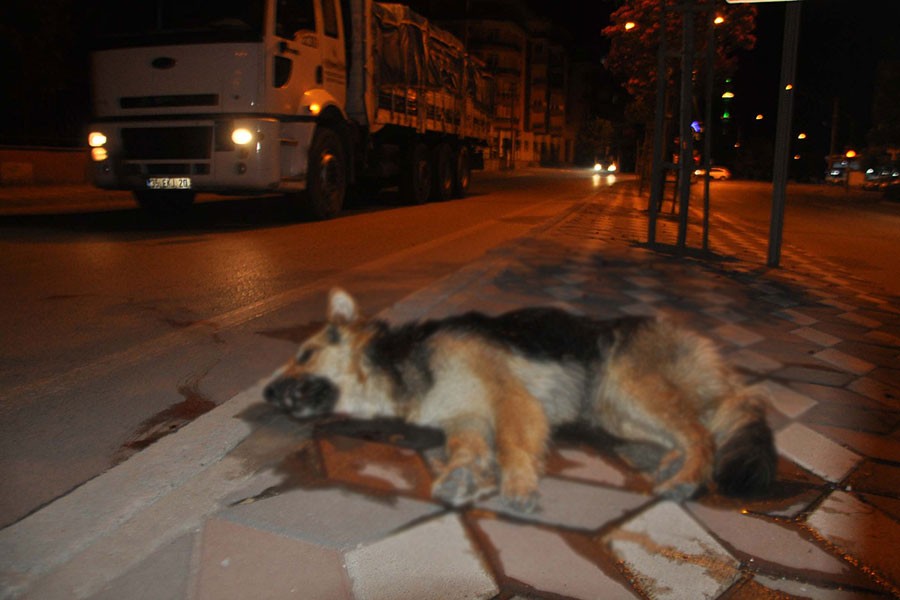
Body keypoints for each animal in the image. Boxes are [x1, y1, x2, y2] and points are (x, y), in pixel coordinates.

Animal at [264, 288, 776, 508]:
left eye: (304, 354)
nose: (266, 392)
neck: (402, 362)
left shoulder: (510, 398)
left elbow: (511, 443)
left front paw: (518, 485)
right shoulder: (465, 418)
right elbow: (467, 448)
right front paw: (461, 474)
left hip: (634, 386)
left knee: (703, 434)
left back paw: (687, 476)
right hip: (616, 408)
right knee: (696, 429)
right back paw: (673, 462)